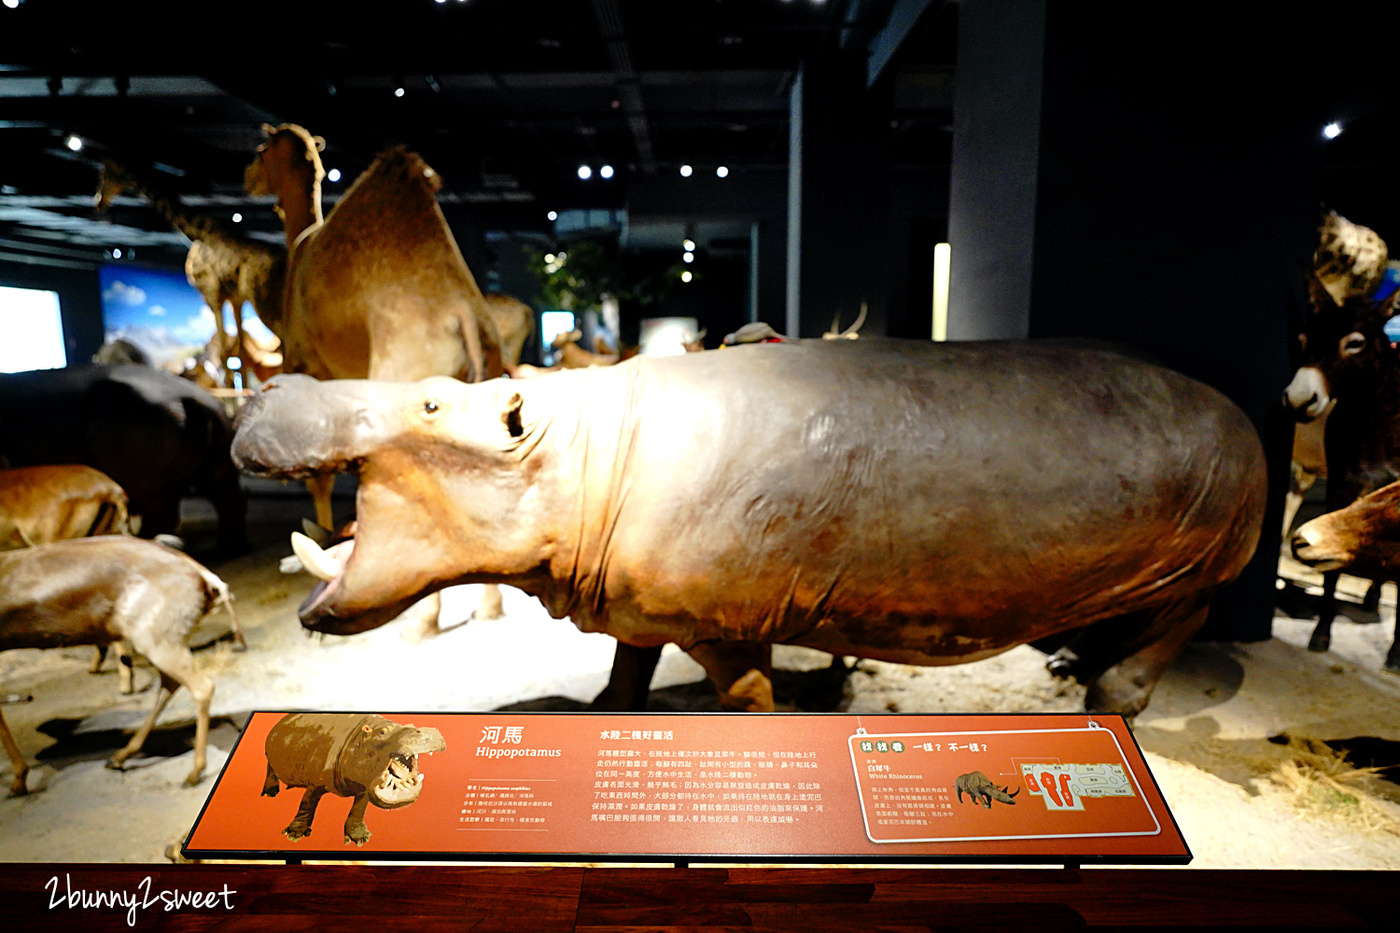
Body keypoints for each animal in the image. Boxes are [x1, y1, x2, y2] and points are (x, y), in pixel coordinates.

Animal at [232, 337, 1271, 714]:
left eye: (435, 398)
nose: (276, 382)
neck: (578, 452)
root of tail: (1246, 423)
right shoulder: (636, 605)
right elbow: (627, 669)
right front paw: (604, 718)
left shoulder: (722, 622)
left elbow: (748, 698)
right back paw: (1067, 668)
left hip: (1205, 564)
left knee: (1169, 635)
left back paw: (1108, 707)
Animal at [246, 121, 509, 633]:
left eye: (260, 149)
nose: (248, 179)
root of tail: (465, 317)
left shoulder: (303, 362)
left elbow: (318, 474)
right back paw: (486, 607)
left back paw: (421, 621)